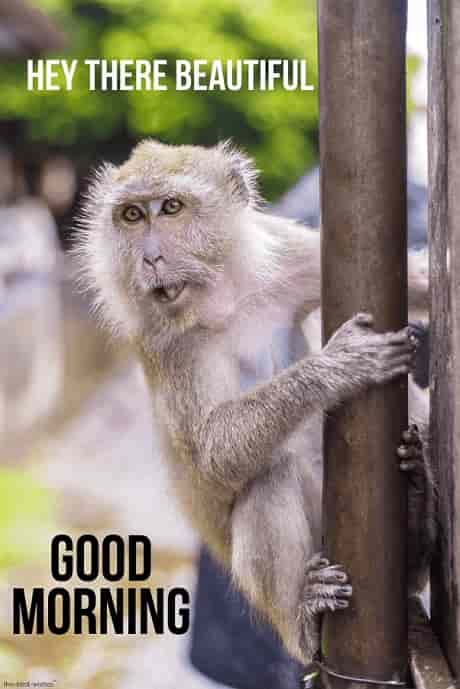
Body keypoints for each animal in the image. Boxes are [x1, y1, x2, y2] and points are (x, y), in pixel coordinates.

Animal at [75, 139, 435, 665]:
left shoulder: (286, 253)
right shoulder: (171, 345)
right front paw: (338, 366)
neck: (223, 301)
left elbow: (419, 284)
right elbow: (214, 452)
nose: (151, 257)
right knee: (269, 478)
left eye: (172, 208)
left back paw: (417, 504)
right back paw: (305, 617)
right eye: (133, 215)